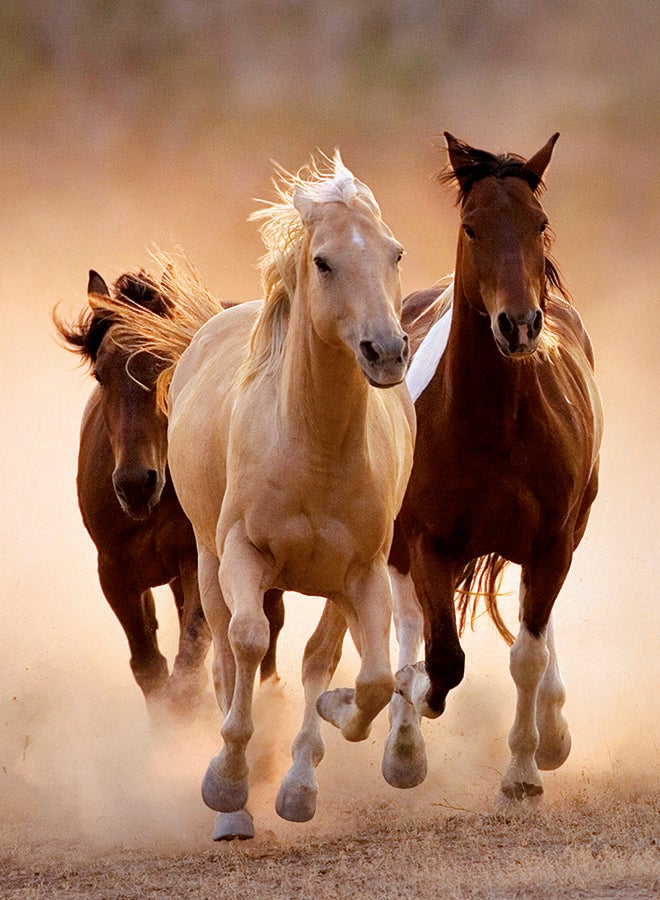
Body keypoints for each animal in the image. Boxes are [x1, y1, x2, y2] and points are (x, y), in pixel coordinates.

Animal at [54, 270, 286, 721]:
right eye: (101, 374)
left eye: (166, 364)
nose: (135, 484)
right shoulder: (115, 573)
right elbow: (150, 668)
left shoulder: (197, 561)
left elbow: (189, 662)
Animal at [98, 153, 416, 840]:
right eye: (323, 261)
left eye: (395, 253)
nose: (386, 351)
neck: (313, 446)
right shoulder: (242, 555)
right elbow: (246, 643)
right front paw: (227, 783)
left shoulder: (363, 572)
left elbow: (369, 678)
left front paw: (326, 739)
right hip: (206, 562)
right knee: (224, 652)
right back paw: (235, 806)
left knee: (321, 655)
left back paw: (299, 779)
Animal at [394, 133, 604, 807]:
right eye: (472, 226)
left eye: (538, 223)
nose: (518, 325)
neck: (495, 424)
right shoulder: (427, 541)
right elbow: (442, 659)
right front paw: (409, 696)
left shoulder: (551, 543)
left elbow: (527, 657)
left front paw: (524, 770)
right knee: (408, 620)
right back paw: (401, 745)